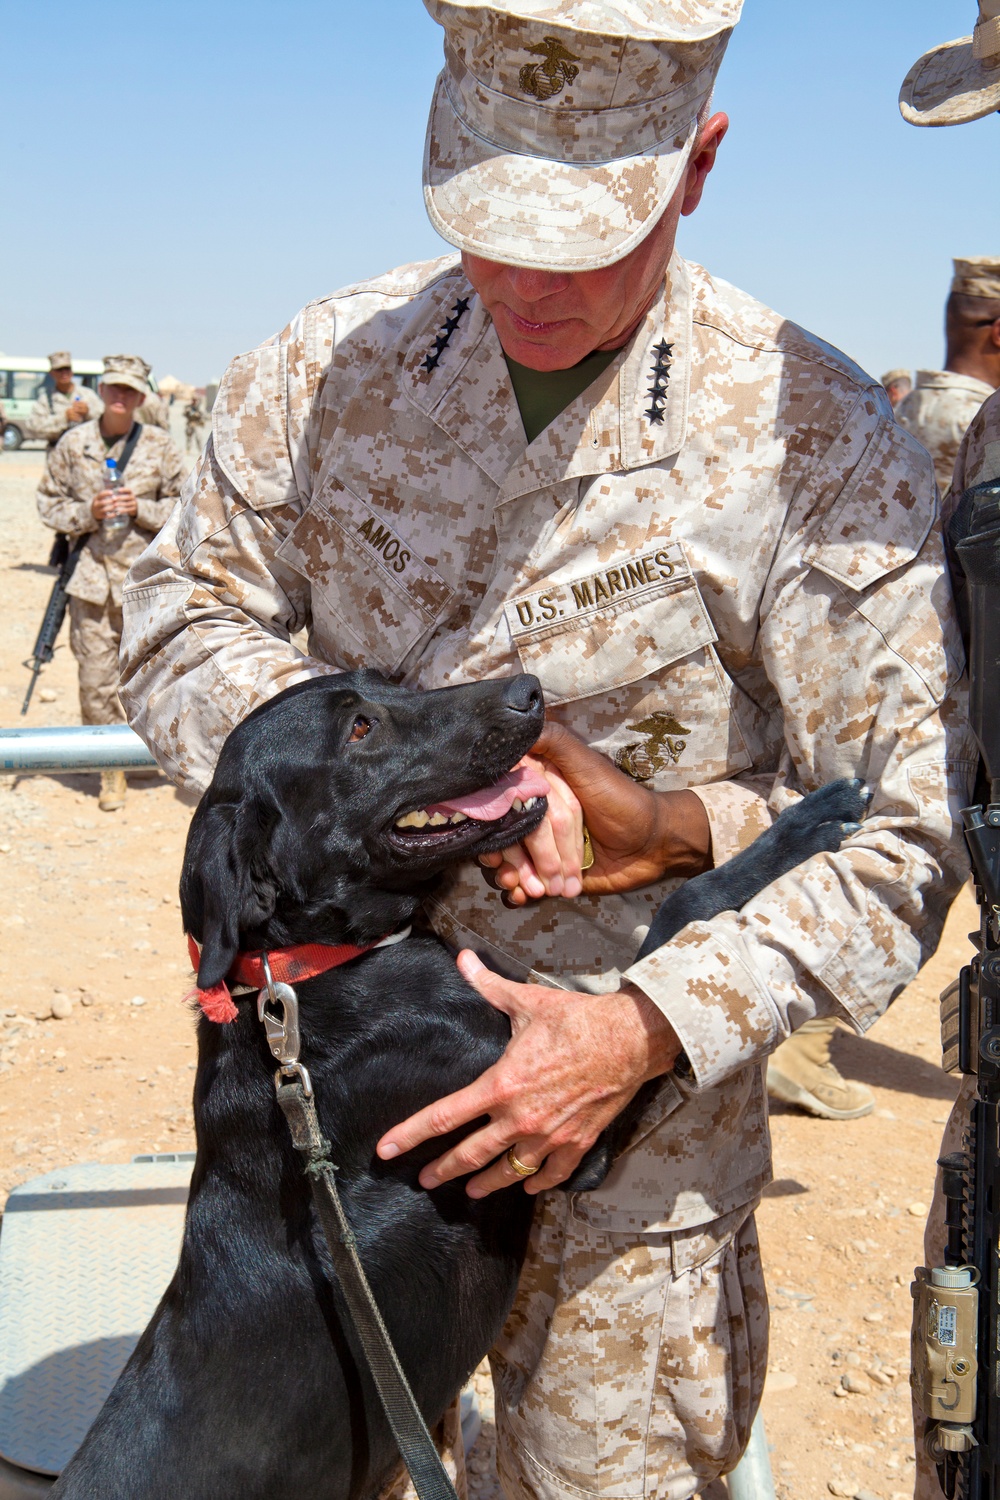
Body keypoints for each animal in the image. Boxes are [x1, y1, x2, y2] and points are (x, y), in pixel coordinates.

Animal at [52, 675, 869, 1494]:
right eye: (359, 728)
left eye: (385, 681)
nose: (528, 690)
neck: (309, 976)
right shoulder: (567, 1132)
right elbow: (683, 906)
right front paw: (805, 825)